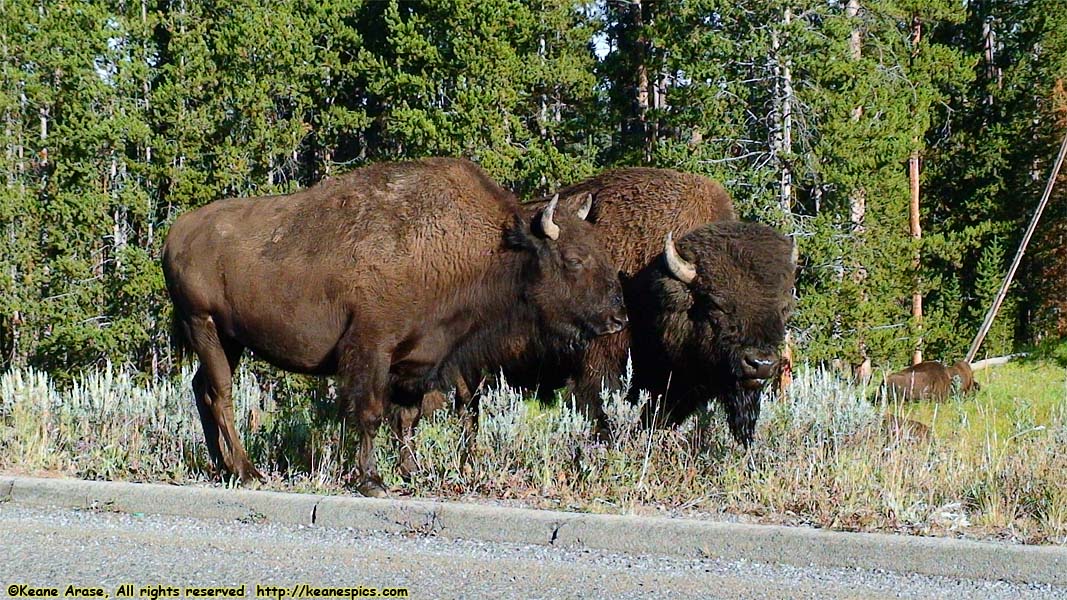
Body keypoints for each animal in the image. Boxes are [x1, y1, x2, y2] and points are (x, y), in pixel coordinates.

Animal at [160, 156, 623, 493]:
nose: (617, 319)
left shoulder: (419, 360)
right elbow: (370, 413)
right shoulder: (372, 349)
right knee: (220, 394)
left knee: (202, 389)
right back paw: (246, 471)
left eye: (602, 250)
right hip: (204, 325)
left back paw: (221, 466)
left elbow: (407, 419)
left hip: (229, 340)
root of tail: (176, 232)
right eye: (573, 259)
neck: (488, 245)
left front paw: (411, 471)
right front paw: (372, 480)